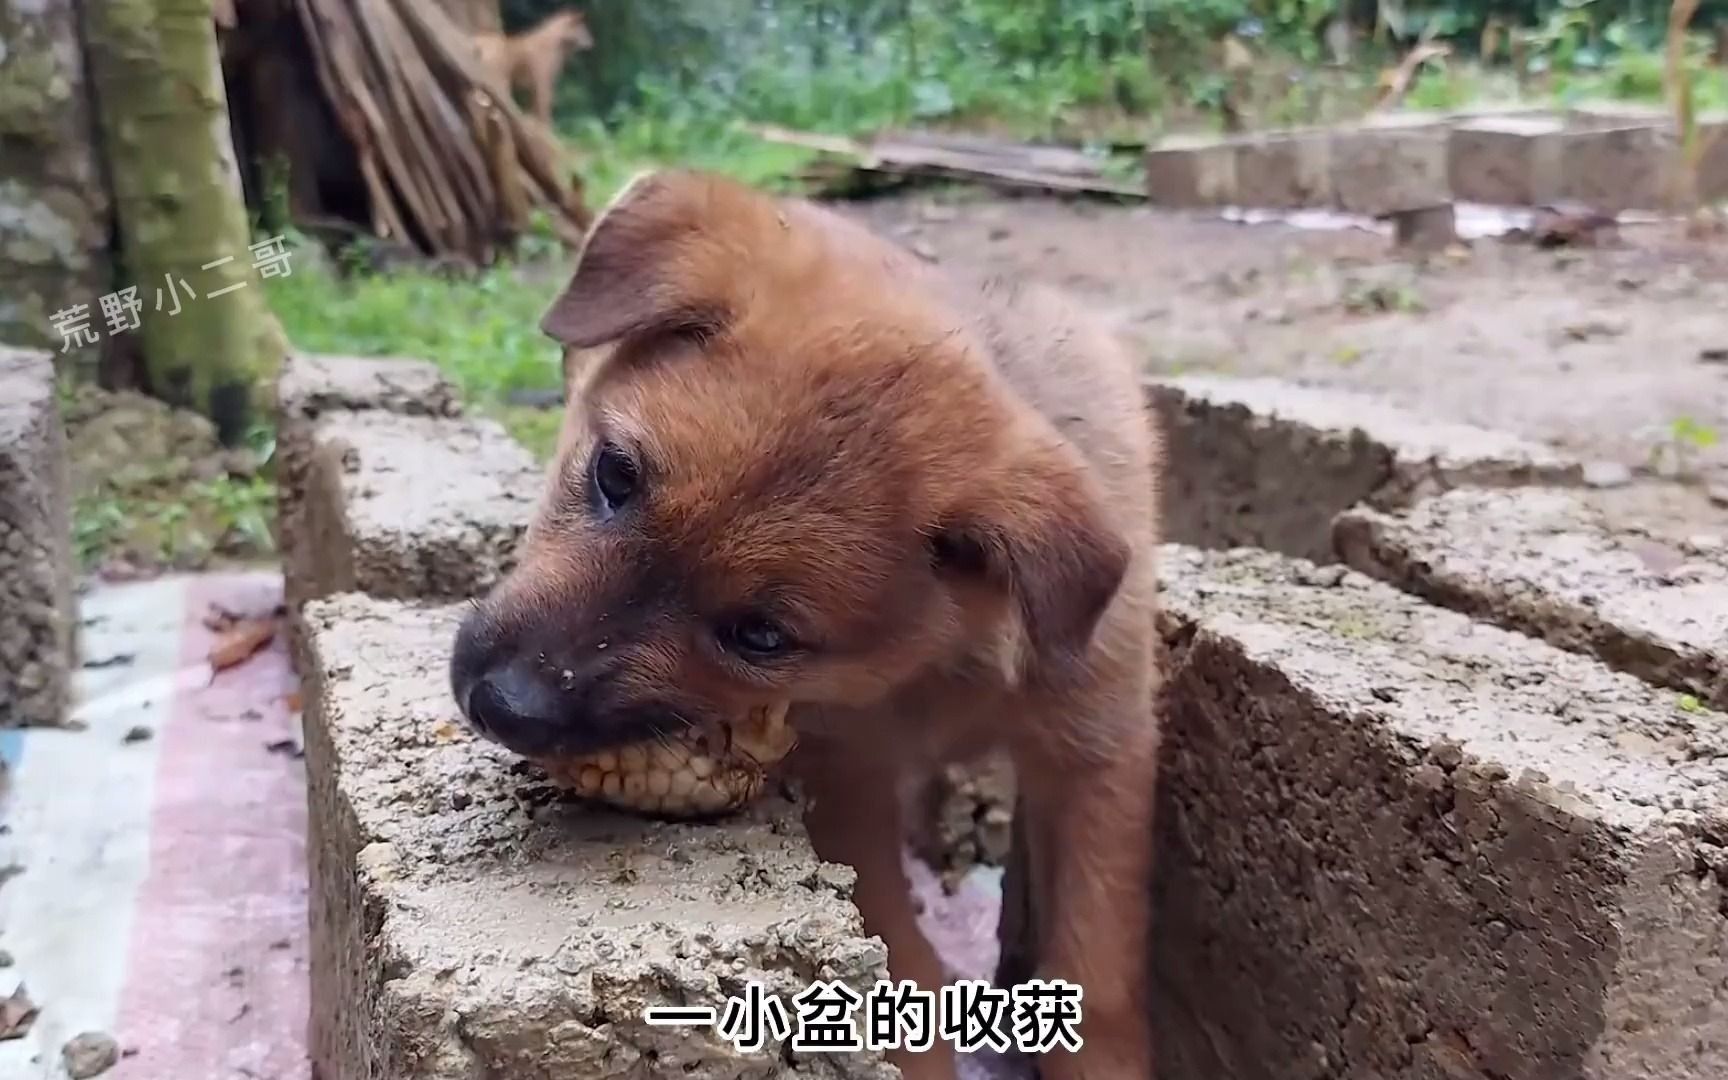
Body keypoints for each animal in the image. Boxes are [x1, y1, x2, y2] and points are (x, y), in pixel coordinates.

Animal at [452, 168, 1168, 1078]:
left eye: (761, 636)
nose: (501, 703)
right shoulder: (843, 773)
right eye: (615, 474)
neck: (941, 666)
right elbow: (896, 942)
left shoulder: (1097, 753)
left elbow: (1094, 963)